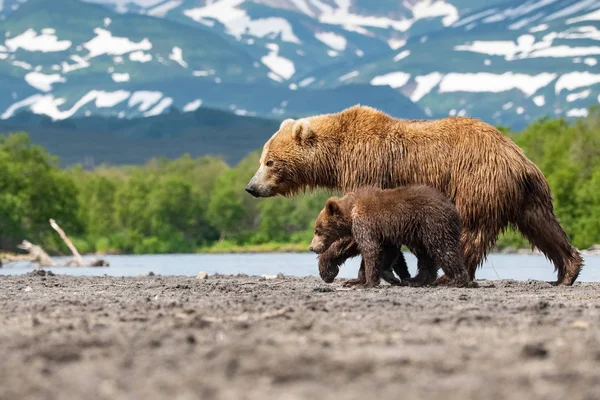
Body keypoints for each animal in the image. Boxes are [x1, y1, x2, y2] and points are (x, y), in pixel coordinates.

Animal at [244, 103, 580, 284]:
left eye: (269, 161)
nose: (251, 187)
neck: (337, 155)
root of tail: (518, 158)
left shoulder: (368, 167)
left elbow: (356, 221)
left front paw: (330, 267)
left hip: (476, 181)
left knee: (471, 230)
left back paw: (448, 275)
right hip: (528, 194)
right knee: (544, 227)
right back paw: (568, 270)